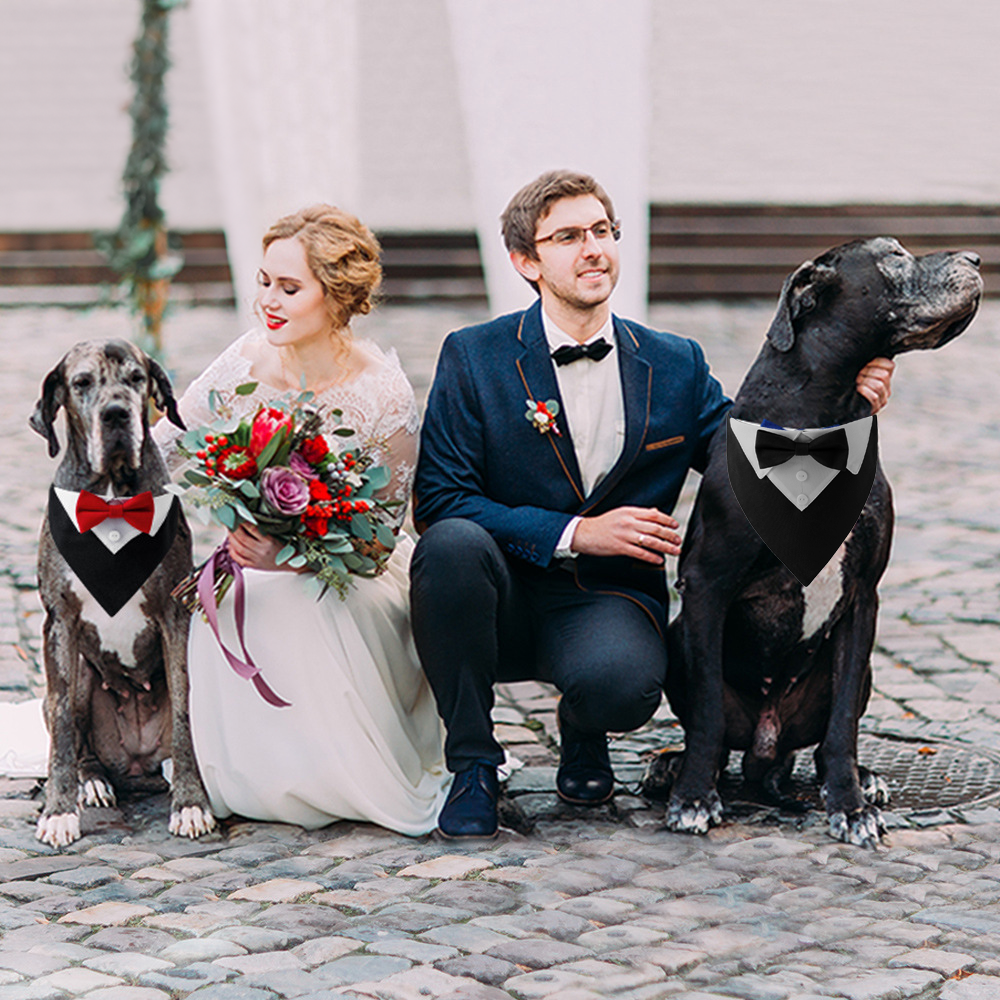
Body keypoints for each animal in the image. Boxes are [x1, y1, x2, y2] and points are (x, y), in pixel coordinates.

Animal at [660, 238, 980, 848]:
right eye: (894, 255)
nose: (977, 260)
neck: (822, 423)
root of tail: (766, 746)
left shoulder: (863, 599)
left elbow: (841, 730)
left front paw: (850, 805)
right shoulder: (706, 586)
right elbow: (708, 713)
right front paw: (692, 798)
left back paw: (866, 777)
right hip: (675, 635)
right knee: (711, 731)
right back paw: (670, 767)